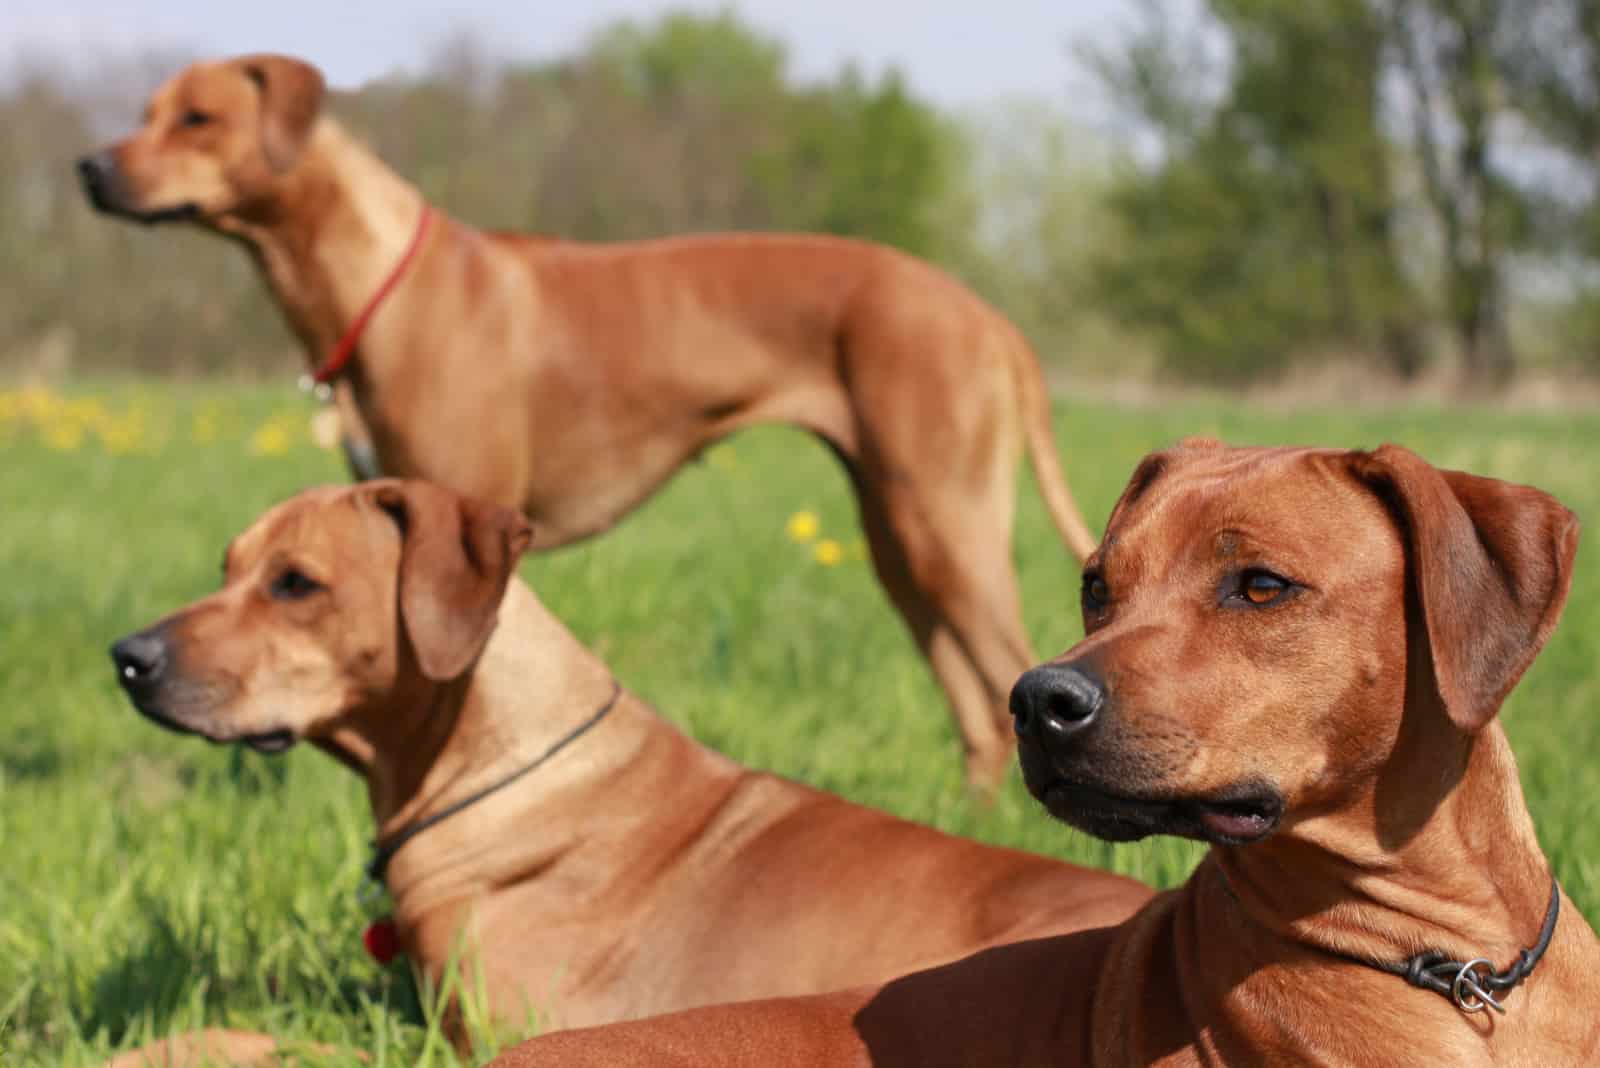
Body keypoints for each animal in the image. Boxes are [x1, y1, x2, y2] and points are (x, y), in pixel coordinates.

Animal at [78, 56, 1100, 793]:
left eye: (196, 118)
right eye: (147, 109)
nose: (88, 167)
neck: (381, 284)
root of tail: (990, 316)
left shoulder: (468, 517)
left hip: (944, 525)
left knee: (1009, 673)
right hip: (901, 539)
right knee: (975, 704)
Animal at [103, 482, 1152, 1068]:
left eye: (295, 584)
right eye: (229, 566)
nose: (127, 657)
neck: (501, 765)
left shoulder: (476, 1039)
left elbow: (268, 1042)